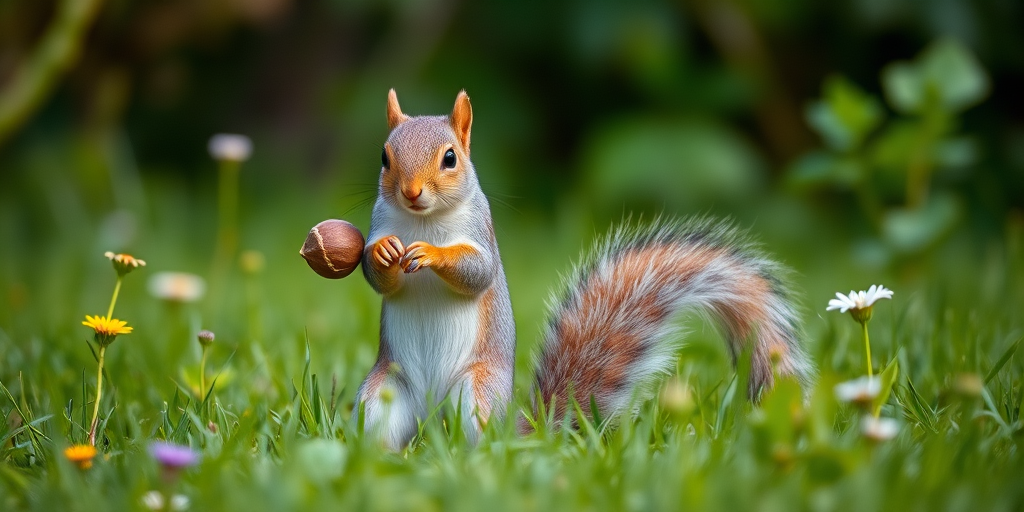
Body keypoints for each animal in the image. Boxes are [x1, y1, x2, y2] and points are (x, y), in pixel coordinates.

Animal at [355, 89, 813, 450]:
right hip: (382, 395)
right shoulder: (380, 222)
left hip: (478, 395)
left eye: (450, 158)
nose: (411, 193)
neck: (423, 221)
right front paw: (383, 254)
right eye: (383, 157)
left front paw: (433, 254)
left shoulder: (481, 233)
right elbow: (376, 277)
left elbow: (476, 271)